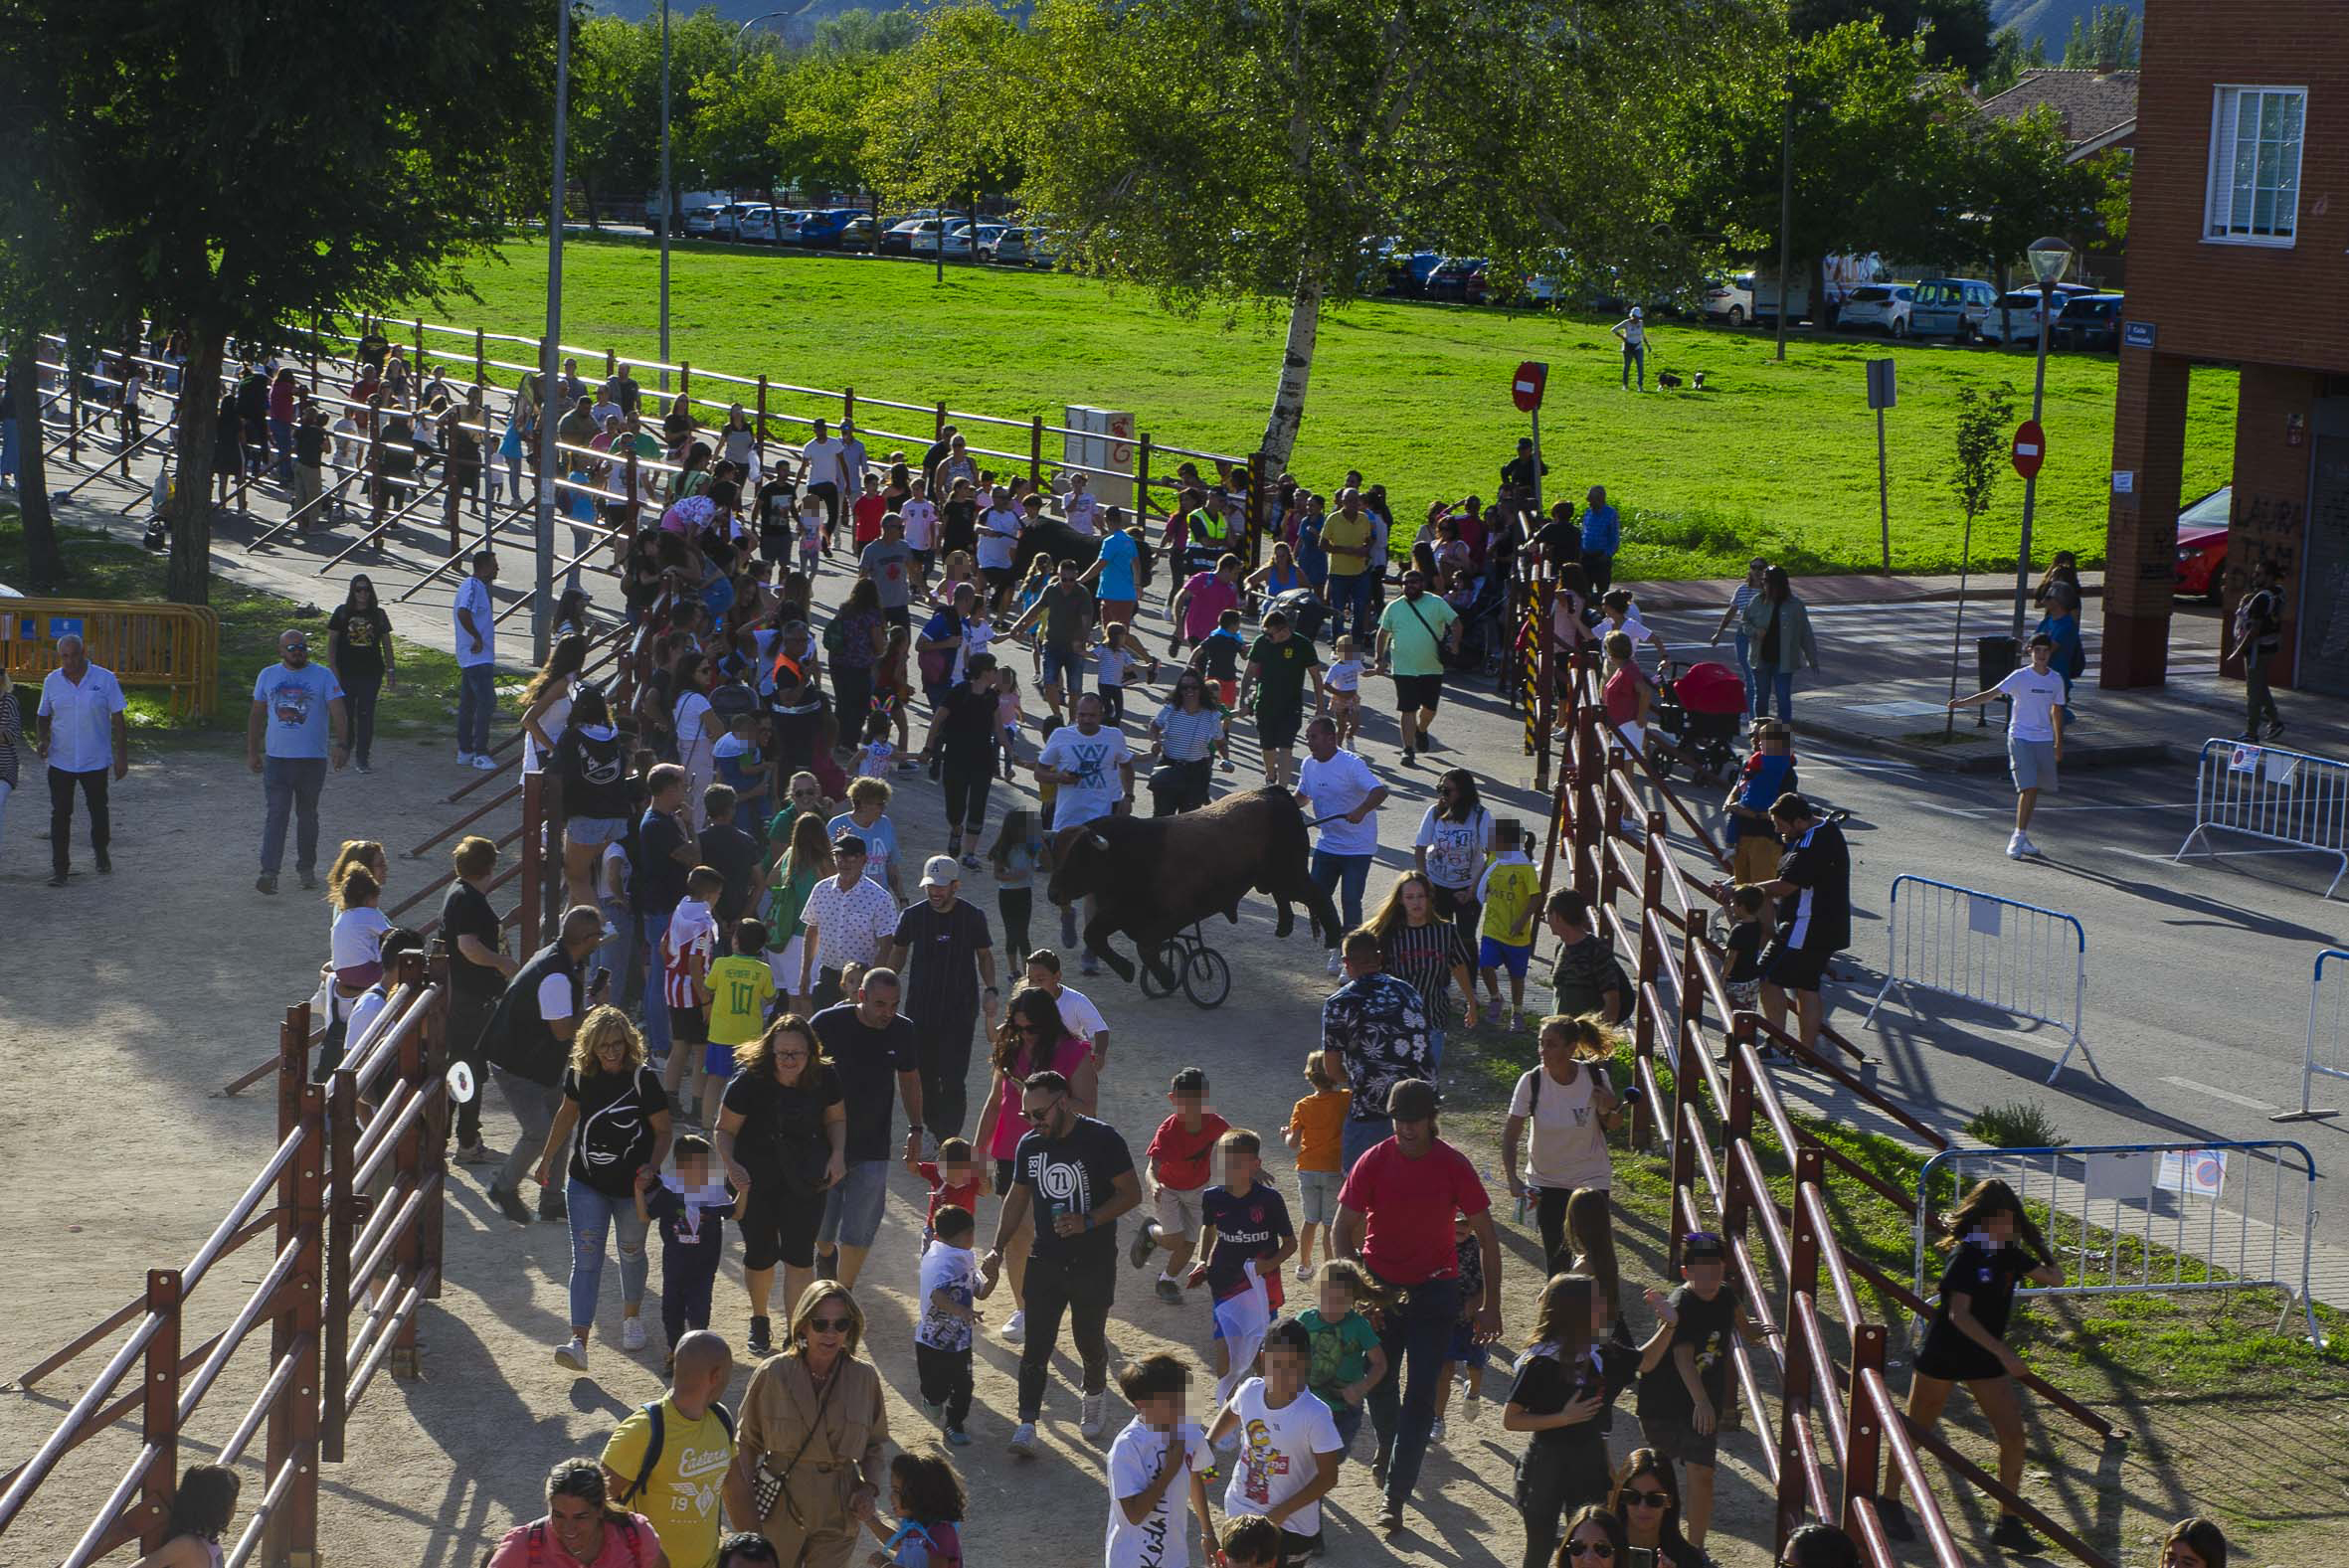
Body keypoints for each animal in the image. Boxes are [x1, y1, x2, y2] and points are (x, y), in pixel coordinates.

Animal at [1047, 788, 1344, 985]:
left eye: (1079, 859)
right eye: (1056, 855)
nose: (1053, 894)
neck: (1126, 854)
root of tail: (1271, 793)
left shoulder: (1171, 916)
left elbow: (1145, 947)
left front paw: (1166, 977)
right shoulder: (1117, 912)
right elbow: (1093, 935)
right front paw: (1127, 969)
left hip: (1291, 875)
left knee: (1316, 894)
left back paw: (1332, 936)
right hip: (1273, 879)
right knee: (1286, 898)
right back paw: (1284, 927)